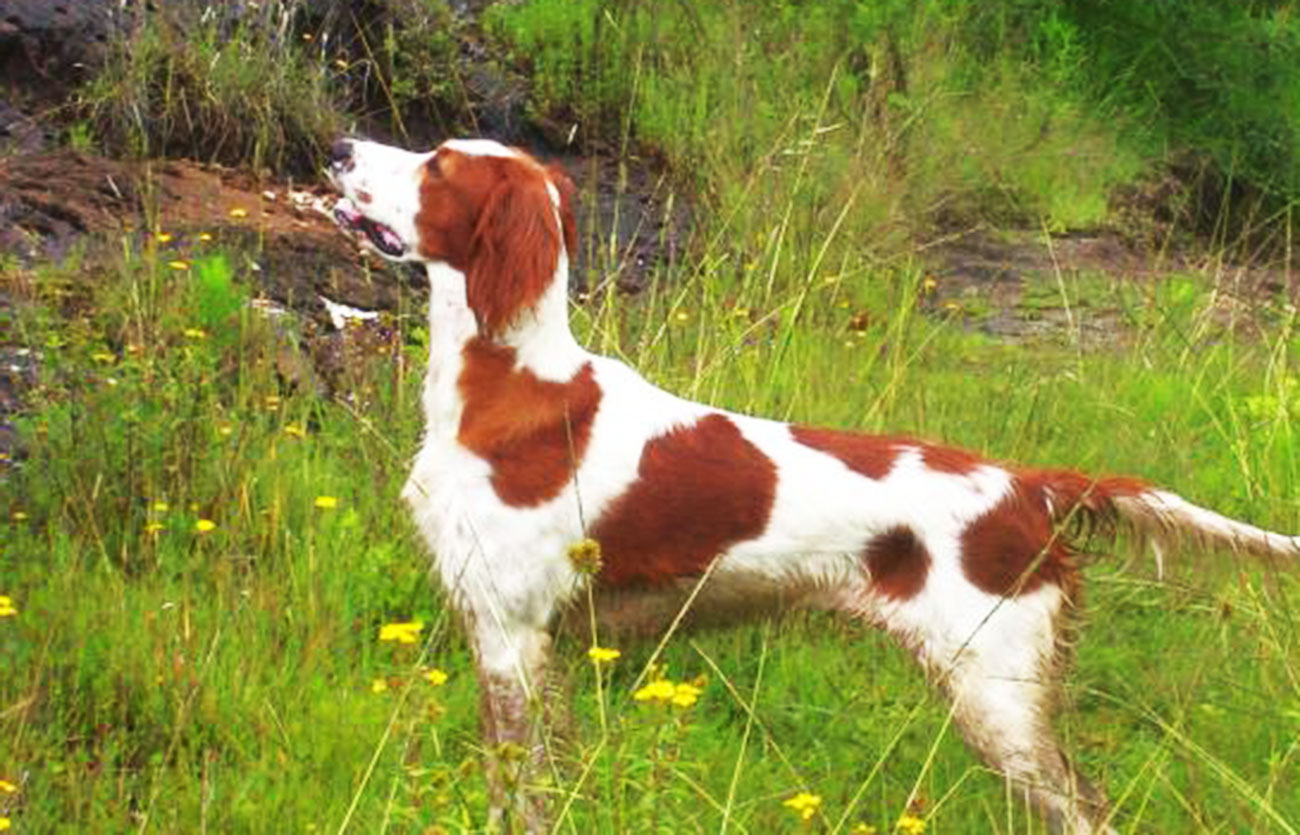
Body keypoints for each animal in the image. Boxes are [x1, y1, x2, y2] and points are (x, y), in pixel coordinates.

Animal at [327, 137, 1300, 832]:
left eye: (438, 164)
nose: (337, 148)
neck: (509, 381)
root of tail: (1030, 486)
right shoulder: (515, 637)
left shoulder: (513, 632)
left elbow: (519, 789)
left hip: (1001, 696)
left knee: (1087, 808)